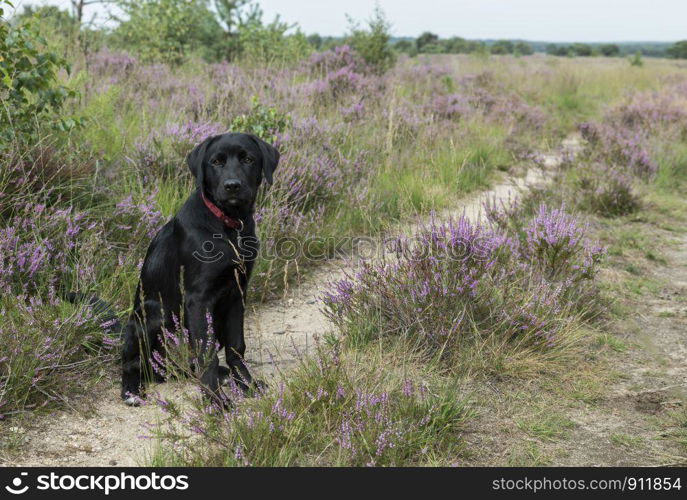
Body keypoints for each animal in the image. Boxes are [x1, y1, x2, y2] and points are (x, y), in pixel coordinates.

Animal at [121, 132, 280, 406]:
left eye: (248, 159)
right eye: (216, 162)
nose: (232, 185)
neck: (229, 225)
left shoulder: (237, 293)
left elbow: (236, 346)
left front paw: (246, 384)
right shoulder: (198, 298)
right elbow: (206, 353)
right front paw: (215, 401)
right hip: (153, 314)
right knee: (132, 362)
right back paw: (131, 390)